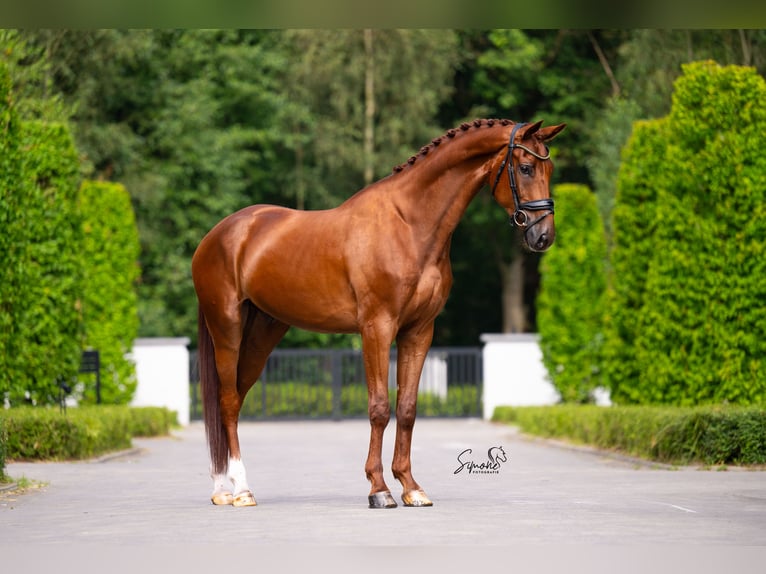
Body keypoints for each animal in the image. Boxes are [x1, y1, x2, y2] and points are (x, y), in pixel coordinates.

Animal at [192, 118, 564, 508]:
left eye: (550, 168)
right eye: (526, 167)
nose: (543, 236)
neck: (409, 224)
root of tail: (218, 235)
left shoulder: (419, 331)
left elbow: (408, 408)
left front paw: (412, 487)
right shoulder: (377, 328)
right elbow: (380, 407)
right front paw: (379, 489)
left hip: (263, 332)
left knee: (232, 400)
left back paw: (223, 489)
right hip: (227, 328)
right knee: (227, 402)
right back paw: (241, 490)